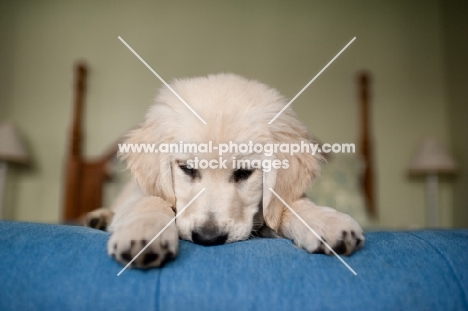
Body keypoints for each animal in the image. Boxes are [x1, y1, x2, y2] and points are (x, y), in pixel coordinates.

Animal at [86, 73, 364, 268]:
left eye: (243, 173)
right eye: (187, 168)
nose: (208, 238)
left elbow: (288, 204)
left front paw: (324, 220)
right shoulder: (144, 193)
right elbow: (153, 200)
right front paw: (143, 232)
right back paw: (98, 218)